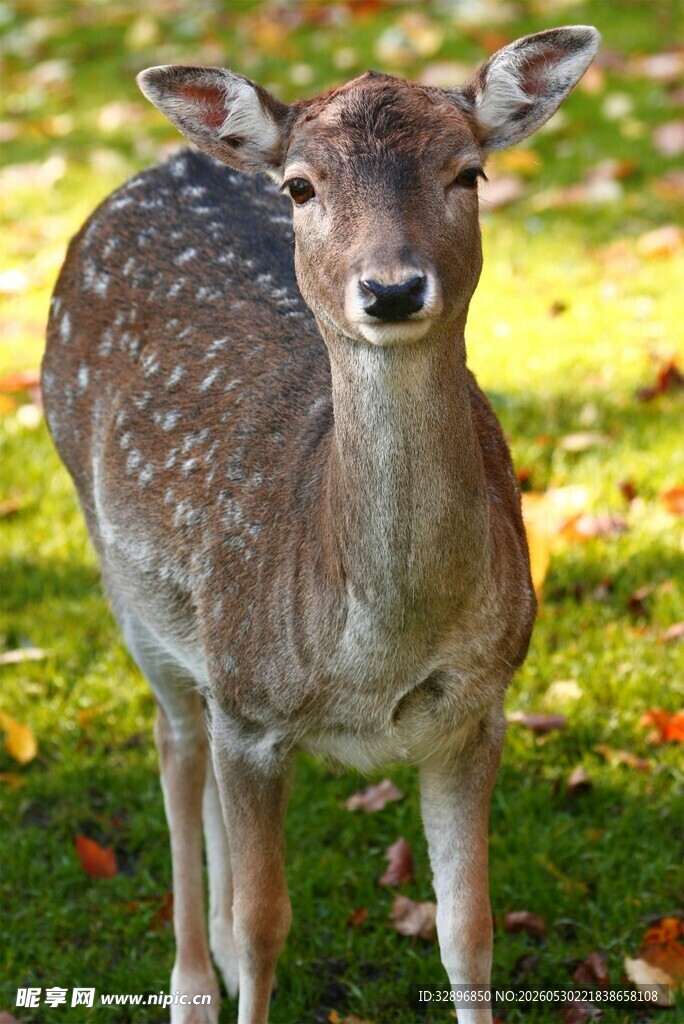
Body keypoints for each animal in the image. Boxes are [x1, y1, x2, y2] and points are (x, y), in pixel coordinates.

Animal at [42, 25, 600, 1024]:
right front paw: (241, 961)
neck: (376, 653)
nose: (391, 289)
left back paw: (215, 954)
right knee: (177, 748)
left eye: (469, 173)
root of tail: (173, 160)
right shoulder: (254, 710)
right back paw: (194, 983)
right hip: (128, 584)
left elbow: (470, 933)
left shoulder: (478, 704)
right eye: (302, 187)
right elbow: (271, 922)